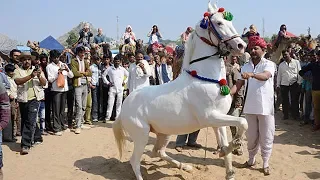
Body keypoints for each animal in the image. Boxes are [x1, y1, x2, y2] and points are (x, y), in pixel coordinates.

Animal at [114, 1, 249, 180]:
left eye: (230, 21)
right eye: (219, 23)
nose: (241, 46)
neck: (206, 79)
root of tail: (124, 107)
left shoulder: (218, 120)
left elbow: (229, 148)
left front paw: (227, 161)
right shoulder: (210, 117)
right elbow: (243, 122)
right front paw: (233, 145)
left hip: (164, 132)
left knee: (157, 152)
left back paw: (185, 167)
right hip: (141, 134)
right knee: (134, 160)